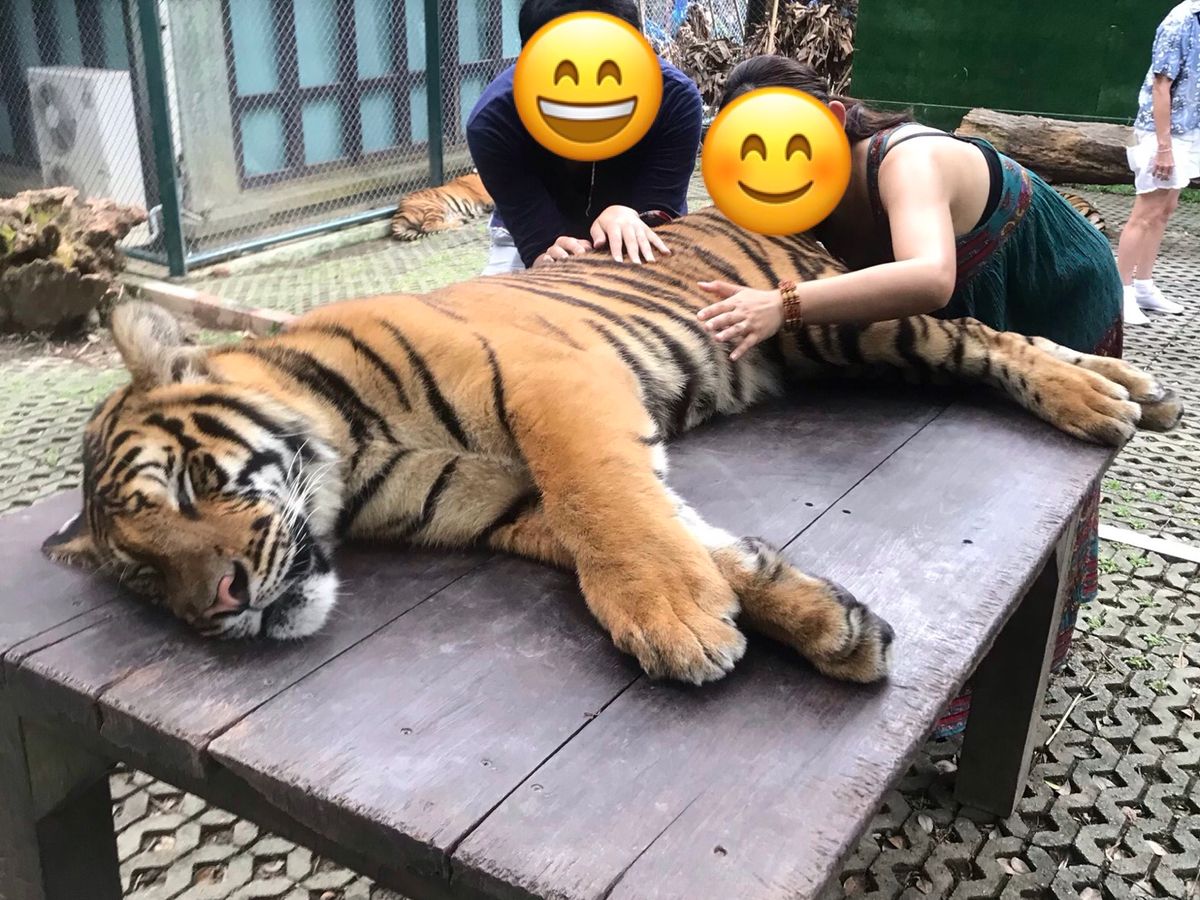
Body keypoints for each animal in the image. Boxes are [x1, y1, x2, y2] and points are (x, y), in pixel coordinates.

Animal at [43, 206, 1182, 688]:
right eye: (144, 577)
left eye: (186, 486)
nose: (222, 606)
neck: (351, 464)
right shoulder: (494, 501)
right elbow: (692, 542)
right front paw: (826, 626)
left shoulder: (556, 387)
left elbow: (609, 506)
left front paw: (674, 624)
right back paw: (1134, 386)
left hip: (837, 321)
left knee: (981, 334)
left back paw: (1098, 398)